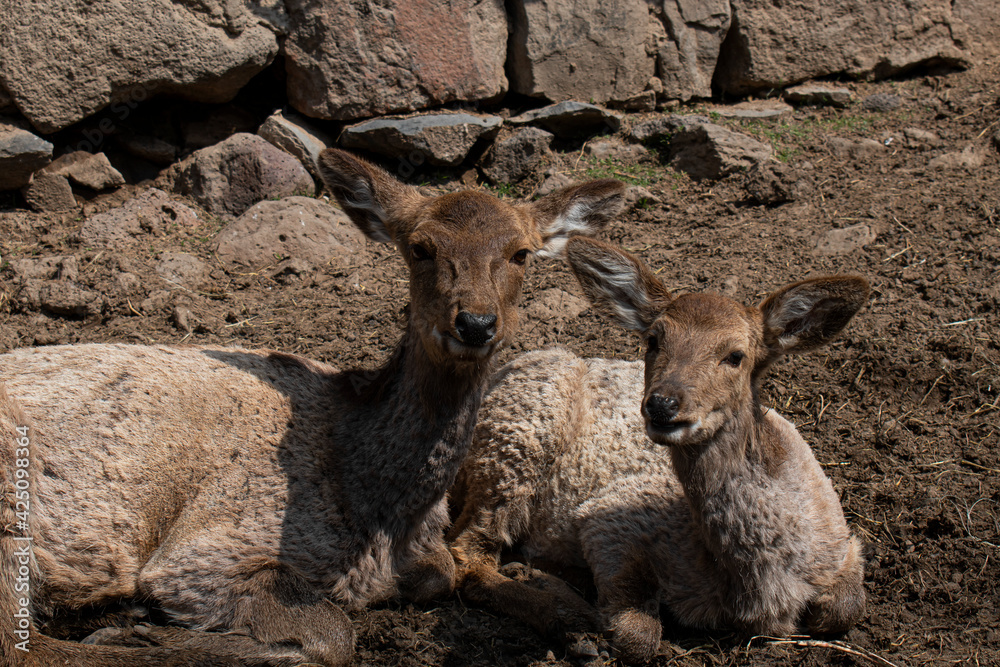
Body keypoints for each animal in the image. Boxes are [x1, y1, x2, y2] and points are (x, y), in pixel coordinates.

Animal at [0, 149, 625, 666]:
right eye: (420, 247)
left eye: (521, 253)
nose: (474, 323)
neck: (384, 517)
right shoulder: (204, 550)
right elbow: (332, 633)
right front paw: (144, 627)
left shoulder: (426, 563)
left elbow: (447, 575)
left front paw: (578, 626)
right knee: (29, 648)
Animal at [448, 237, 869, 663]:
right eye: (654, 340)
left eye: (736, 356)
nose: (662, 404)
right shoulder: (611, 518)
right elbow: (639, 636)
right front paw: (577, 612)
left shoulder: (845, 542)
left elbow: (845, 608)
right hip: (516, 441)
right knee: (467, 555)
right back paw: (565, 616)